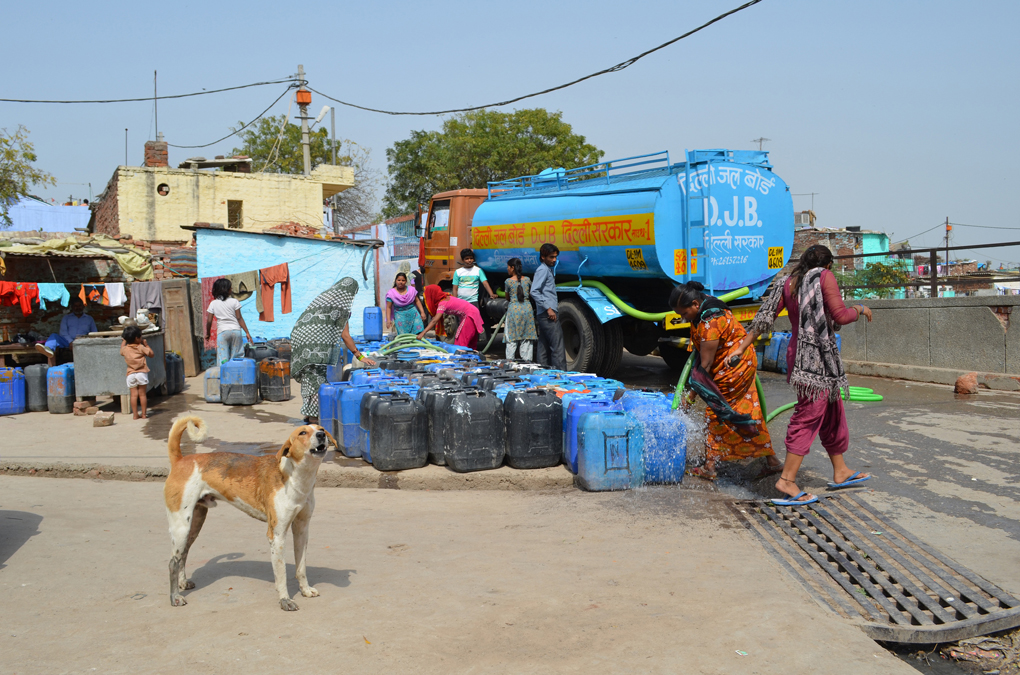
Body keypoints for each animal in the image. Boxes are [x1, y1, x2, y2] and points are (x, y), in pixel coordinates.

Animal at [161, 416, 332, 611]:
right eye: (303, 432)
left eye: (322, 428)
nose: (321, 435)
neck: (296, 478)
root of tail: (180, 460)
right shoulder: (277, 535)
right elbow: (281, 573)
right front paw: (285, 600)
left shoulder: (302, 529)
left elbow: (301, 567)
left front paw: (305, 590)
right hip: (181, 526)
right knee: (172, 562)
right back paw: (175, 597)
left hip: (194, 524)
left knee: (183, 554)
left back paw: (182, 583)